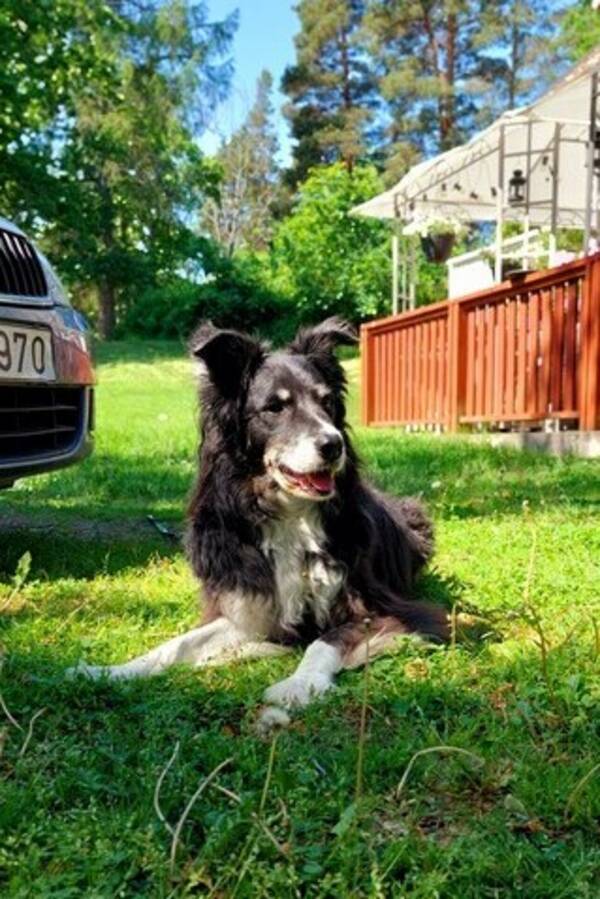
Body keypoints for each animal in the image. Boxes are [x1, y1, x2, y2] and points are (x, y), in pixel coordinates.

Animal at [76, 320, 446, 720]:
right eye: (274, 407)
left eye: (326, 402)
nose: (334, 445)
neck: (291, 514)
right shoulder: (252, 604)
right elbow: (178, 644)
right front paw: (112, 670)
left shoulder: (388, 608)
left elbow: (325, 641)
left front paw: (298, 684)